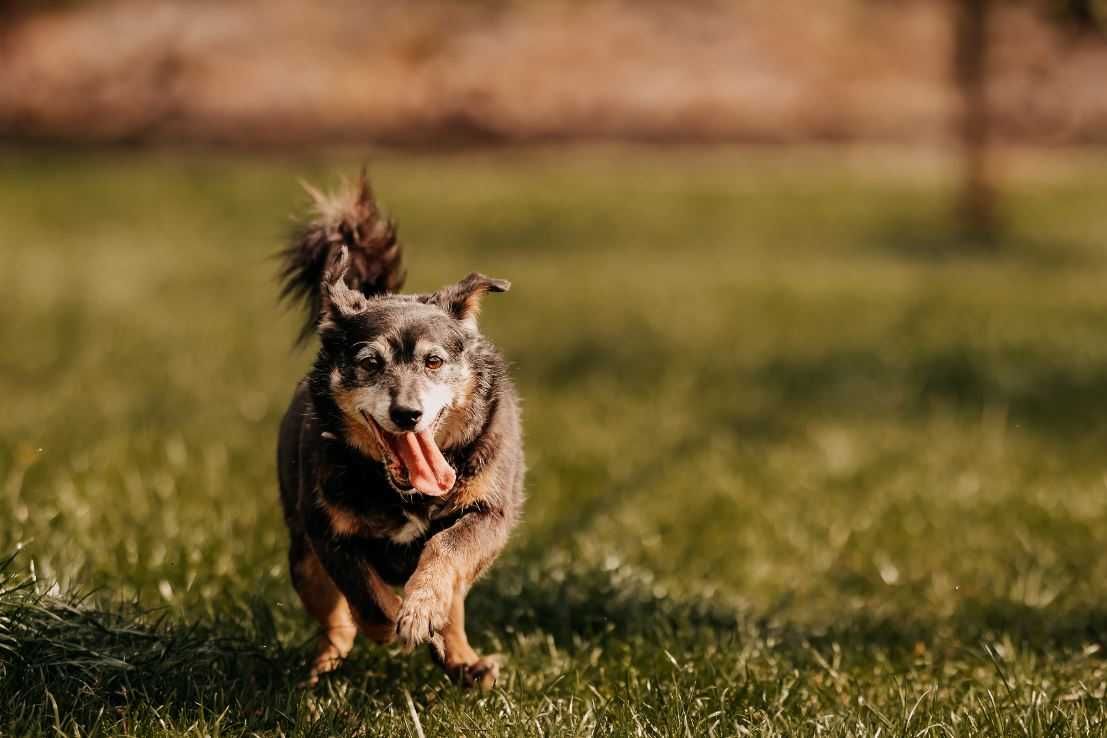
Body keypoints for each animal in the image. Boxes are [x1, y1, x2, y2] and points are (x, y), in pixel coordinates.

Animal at [274, 170, 520, 690]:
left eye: (434, 362)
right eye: (369, 363)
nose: (407, 414)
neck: (402, 490)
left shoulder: (489, 514)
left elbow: (444, 552)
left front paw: (422, 609)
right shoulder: (328, 532)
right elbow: (366, 597)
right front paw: (394, 620)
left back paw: (465, 663)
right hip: (302, 558)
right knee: (336, 625)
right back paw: (322, 671)